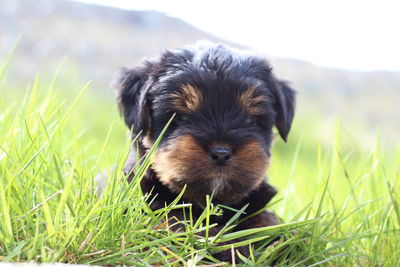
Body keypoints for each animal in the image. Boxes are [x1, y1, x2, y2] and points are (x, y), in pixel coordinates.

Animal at [115, 43, 294, 258]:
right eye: (180, 117)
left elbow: (265, 221)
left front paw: (281, 237)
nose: (221, 153)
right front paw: (229, 246)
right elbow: (181, 221)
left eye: (251, 120)